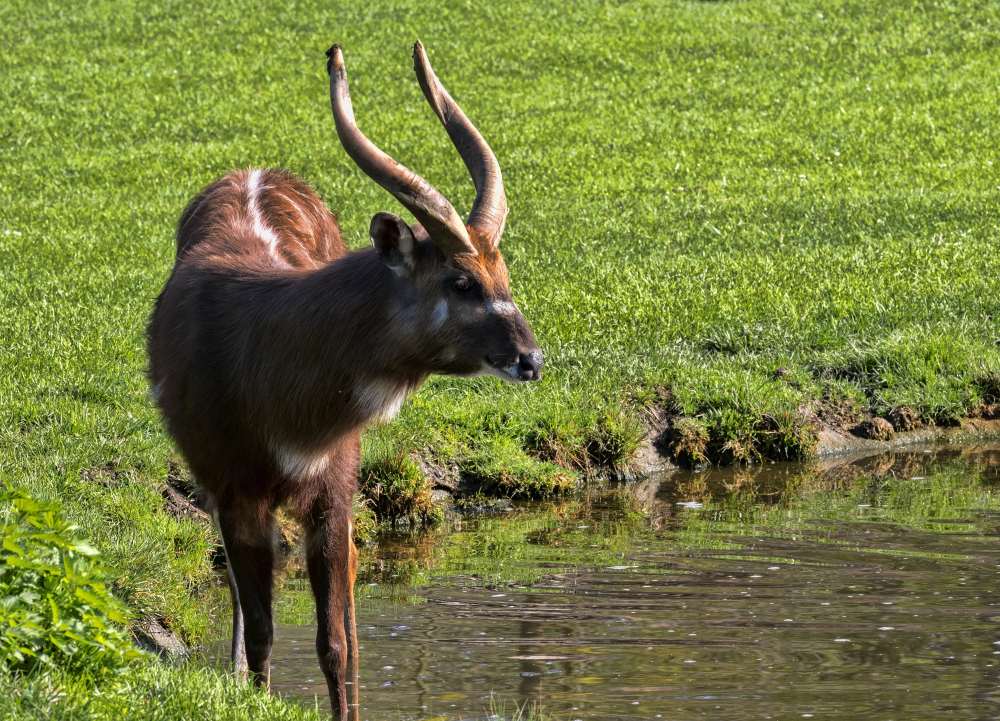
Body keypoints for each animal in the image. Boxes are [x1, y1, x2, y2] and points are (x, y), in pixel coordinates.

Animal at [146, 42, 542, 717]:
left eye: (503, 275)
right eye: (461, 281)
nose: (530, 359)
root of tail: (256, 171)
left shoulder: (333, 489)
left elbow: (337, 641)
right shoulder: (236, 490)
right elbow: (265, 629)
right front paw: (252, 694)